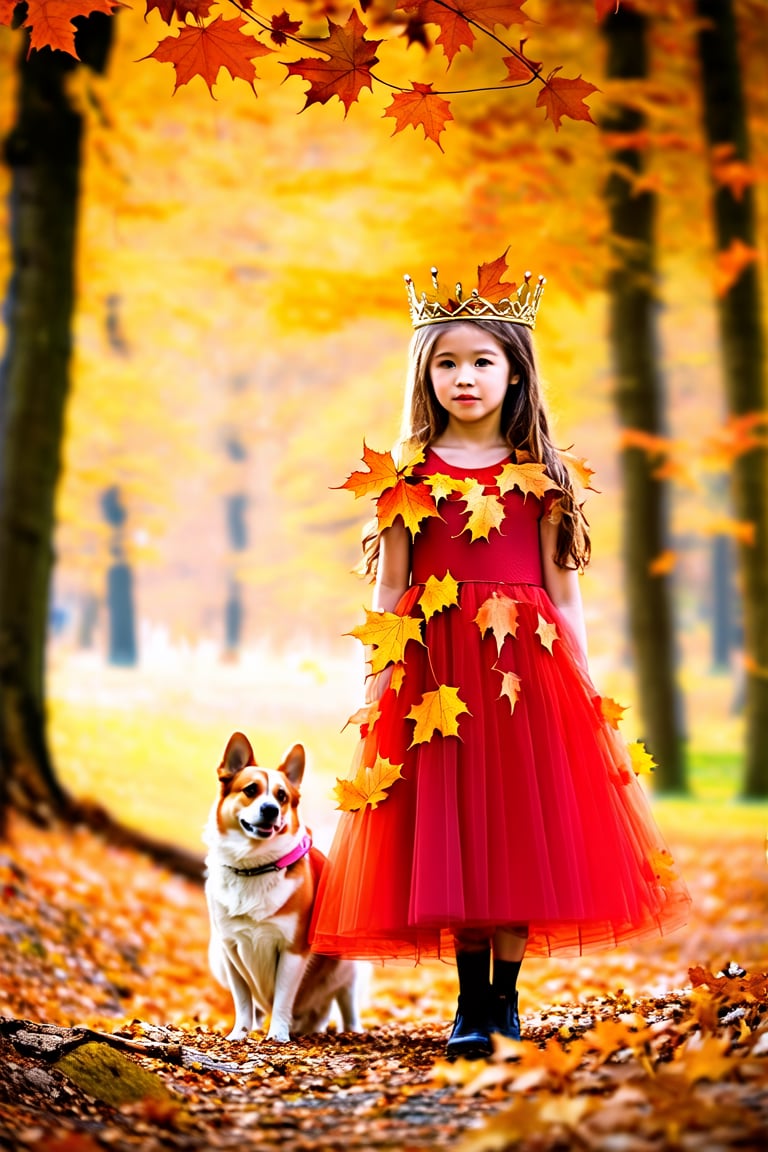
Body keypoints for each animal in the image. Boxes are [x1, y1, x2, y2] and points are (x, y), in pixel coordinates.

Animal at [203, 737, 361, 1046]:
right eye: (251, 790)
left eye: (282, 797)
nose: (271, 809)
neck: (254, 868)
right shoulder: (230, 950)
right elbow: (243, 1000)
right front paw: (240, 1033)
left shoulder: (292, 950)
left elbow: (282, 998)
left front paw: (277, 1033)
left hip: (345, 966)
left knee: (346, 999)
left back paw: (352, 1030)